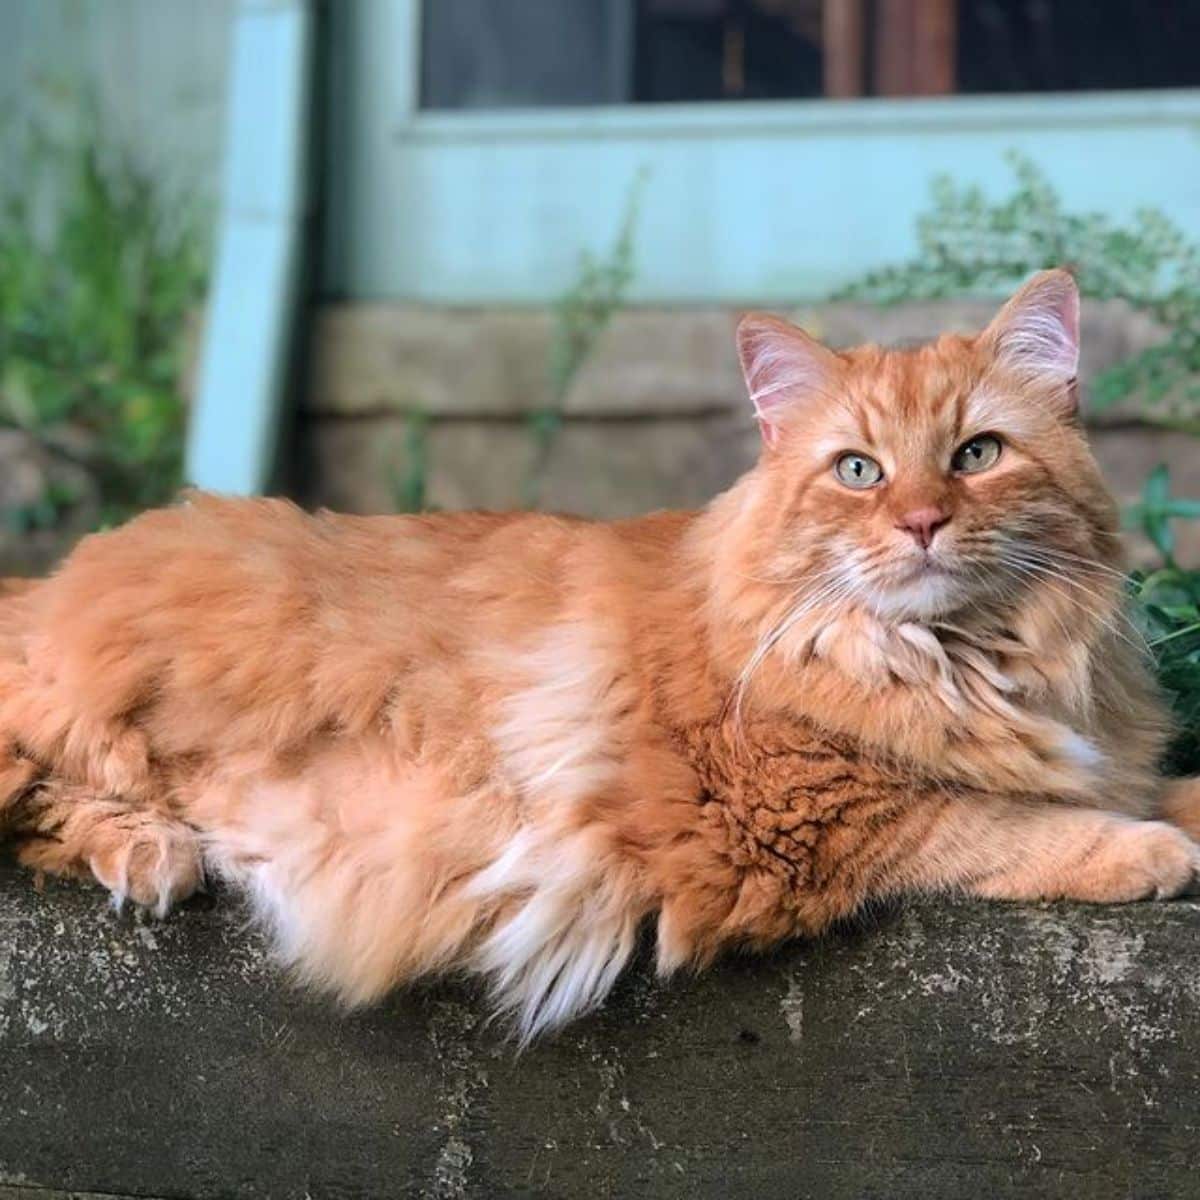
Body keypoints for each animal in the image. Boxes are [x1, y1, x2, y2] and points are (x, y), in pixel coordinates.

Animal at [2, 272, 1200, 1041]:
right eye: (859, 470)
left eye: (978, 455)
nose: (920, 522)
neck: (970, 659)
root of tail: (45, 584)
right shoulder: (799, 817)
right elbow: (996, 824)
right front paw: (1143, 851)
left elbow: (1142, 784)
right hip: (102, 721)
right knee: (49, 801)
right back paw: (151, 854)